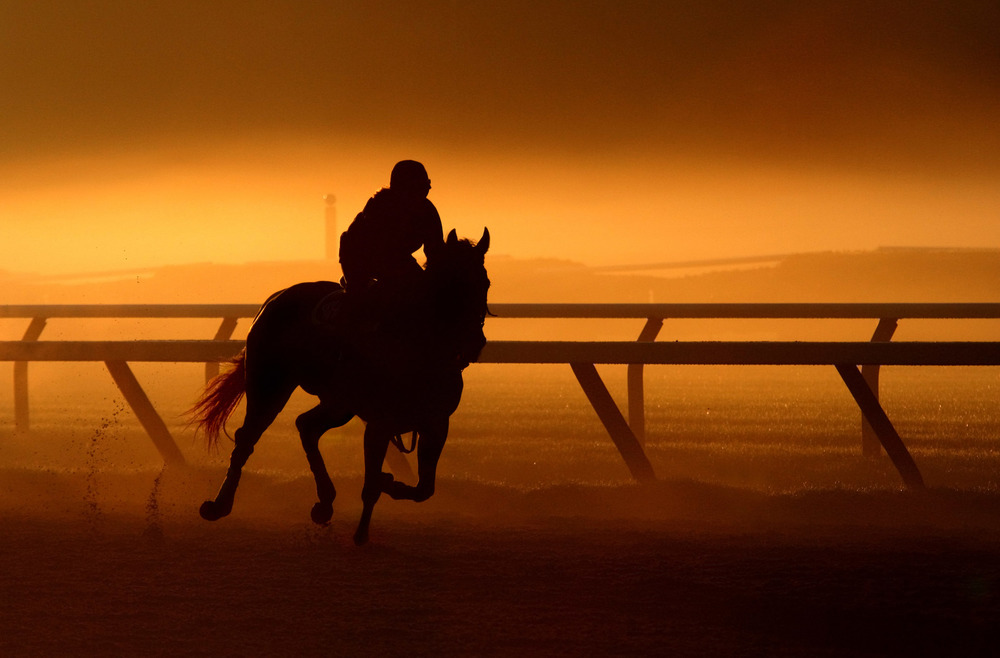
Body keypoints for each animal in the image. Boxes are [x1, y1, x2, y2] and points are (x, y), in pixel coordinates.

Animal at [189, 228, 490, 540]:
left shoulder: (436, 422)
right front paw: (362, 531)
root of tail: (275, 299)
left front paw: (389, 484)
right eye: (450, 285)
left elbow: (424, 489)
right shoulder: (380, 424)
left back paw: (324, 502)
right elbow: (372, 486)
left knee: (306, 426)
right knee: (247, 437)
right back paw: (219, 505)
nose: (474, 343)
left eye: (485, 283)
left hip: (338, 404)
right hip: (270, 385)